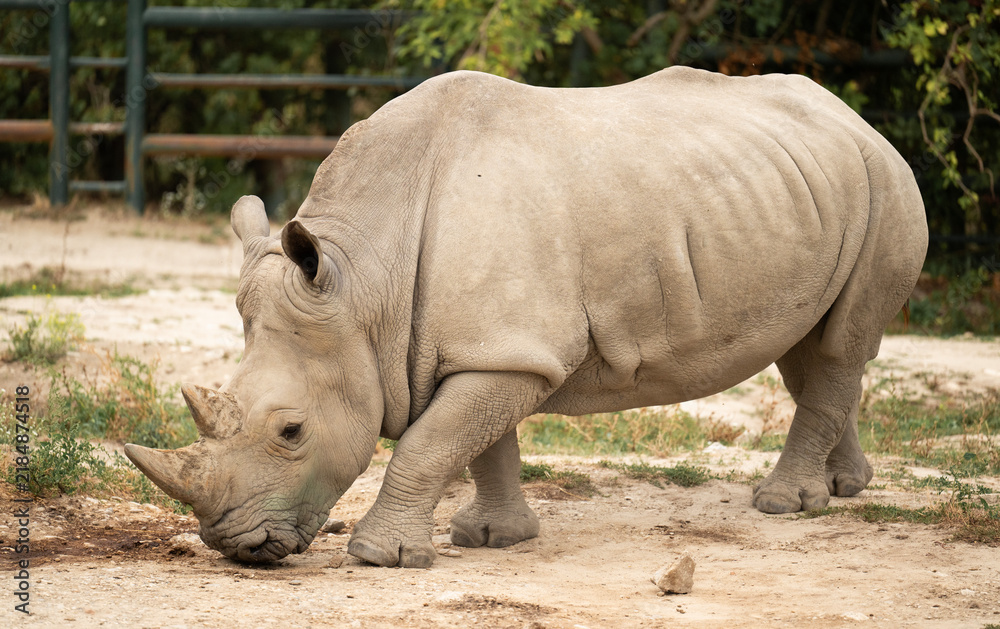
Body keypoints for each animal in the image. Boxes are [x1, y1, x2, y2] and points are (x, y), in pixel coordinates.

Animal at [125, 67, 927, 568]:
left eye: (291, 432)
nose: (233, 545)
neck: (362, 284)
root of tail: (858, 120)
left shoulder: (510, 350)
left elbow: (431, 442)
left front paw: (383, 557)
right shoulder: (489, 345)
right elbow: (482, 443)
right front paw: (491, 537)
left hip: (887, 184)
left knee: (836, 347)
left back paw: (783, 505)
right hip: (809, 191)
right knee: (812, 347)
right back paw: (847, 488)